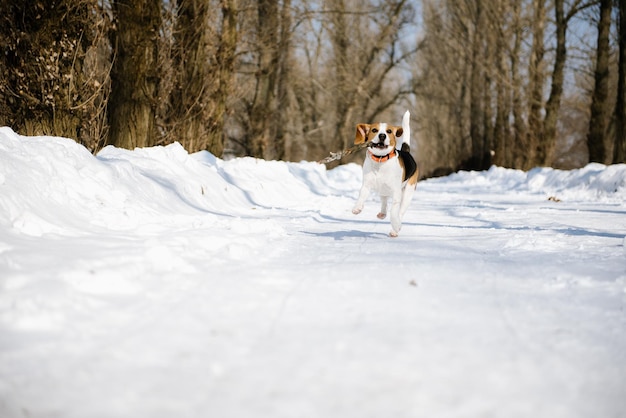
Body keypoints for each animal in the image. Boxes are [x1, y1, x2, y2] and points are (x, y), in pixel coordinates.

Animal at [352, 109, 414, 237]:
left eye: (389, 131)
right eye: (374, 130)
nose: (382, 135)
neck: (380, 160)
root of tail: (407, 152)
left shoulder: (396, 193)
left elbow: (394, 212)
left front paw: (396, 225)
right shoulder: (366, 185)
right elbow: (361, 196)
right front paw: (357, 207)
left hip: (408, 193)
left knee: (400, 212)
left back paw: (396, 228)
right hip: (383, 189)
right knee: (384, 201)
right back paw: (382, 213)